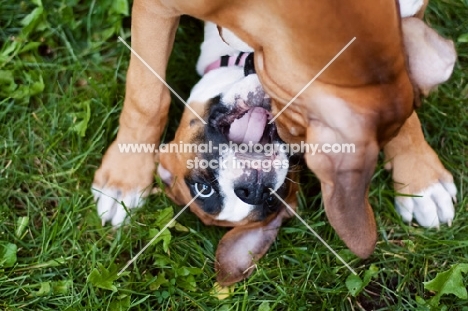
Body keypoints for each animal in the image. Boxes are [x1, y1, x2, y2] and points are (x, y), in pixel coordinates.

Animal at [92, 0, 458, 268]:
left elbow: (399, 91)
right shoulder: (157, 10)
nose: (252, 188)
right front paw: (125, 179)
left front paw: (420, 177)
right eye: (203, 189)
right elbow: (147, 94)